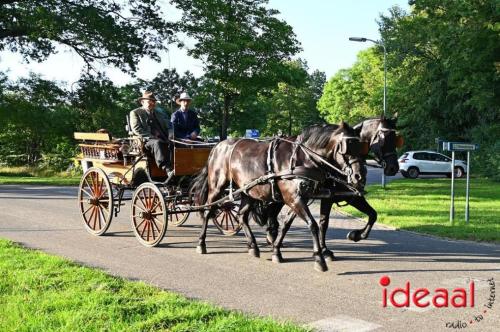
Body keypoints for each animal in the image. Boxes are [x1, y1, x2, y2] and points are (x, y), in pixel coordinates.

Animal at [188, 122, 368, 272]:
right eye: (347, 146)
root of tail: (217, 146)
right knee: (208, 211)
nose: (359, 176)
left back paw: (253, 246)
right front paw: (319, 258)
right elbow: (313, 224)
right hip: (217, 186)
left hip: (248, 192)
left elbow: (287, 224)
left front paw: (276, 250)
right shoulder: (293, 198)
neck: (302, 158)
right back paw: (201, 243)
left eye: (363, 147)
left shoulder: (299, 198)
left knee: (242, 215)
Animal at [262, 116, 402, 262]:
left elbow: (373, 215)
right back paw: (271, 236)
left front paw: (355, 235)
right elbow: (323, 223)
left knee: (272, 211)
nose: (393, 168)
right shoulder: (325, 198)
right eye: (383, 138)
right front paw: (324, 250)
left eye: (396, 138)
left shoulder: (351, 197)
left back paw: (272, 236)